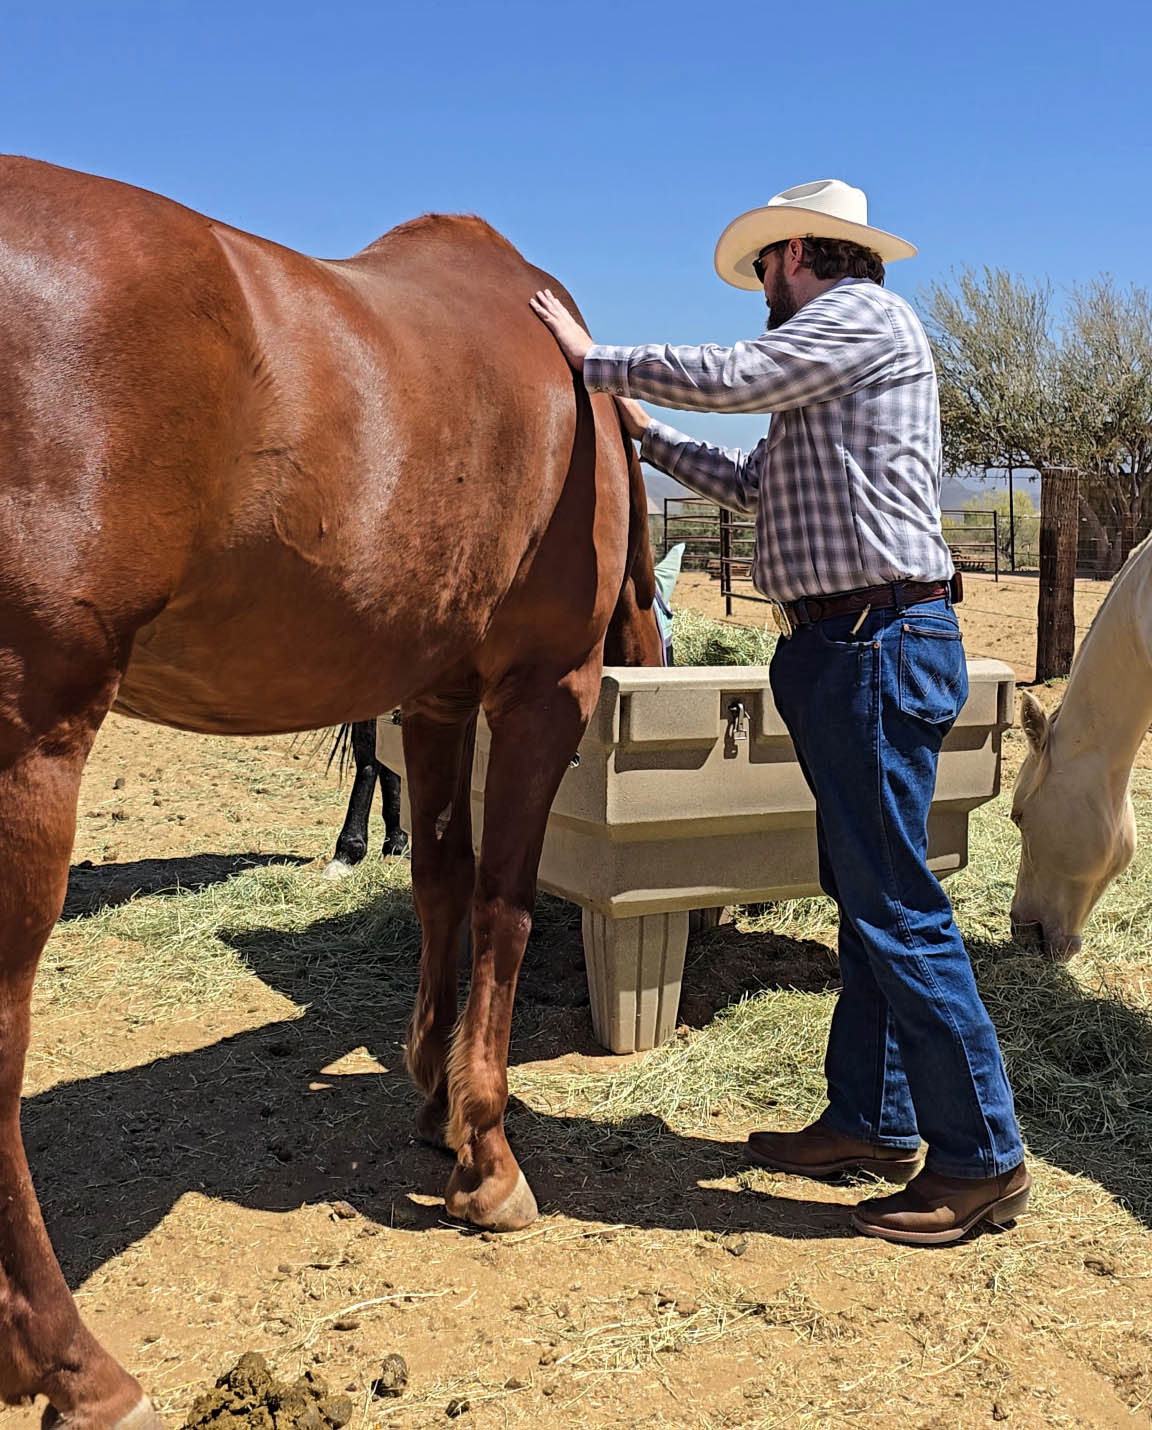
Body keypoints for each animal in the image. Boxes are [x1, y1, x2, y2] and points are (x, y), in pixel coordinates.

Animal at [0, 156, 663, 1430]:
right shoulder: (541, 690)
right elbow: (504, 903)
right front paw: (489, 1153)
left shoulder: (439, 697)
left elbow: (442, 880)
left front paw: (435, 1102)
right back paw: (79, 1367)